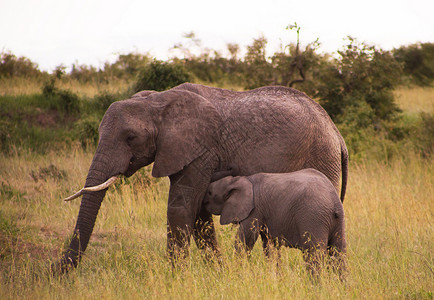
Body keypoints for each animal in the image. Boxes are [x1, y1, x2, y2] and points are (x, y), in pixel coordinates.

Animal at [203, 169, 346, 274]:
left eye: (209, 192)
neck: (238, 179)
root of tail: (334, 201)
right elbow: (270, 245)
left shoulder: (254, 210)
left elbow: (245, 240)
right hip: (337, 221)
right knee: (338, 253)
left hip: (313, 217)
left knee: (314, 254)